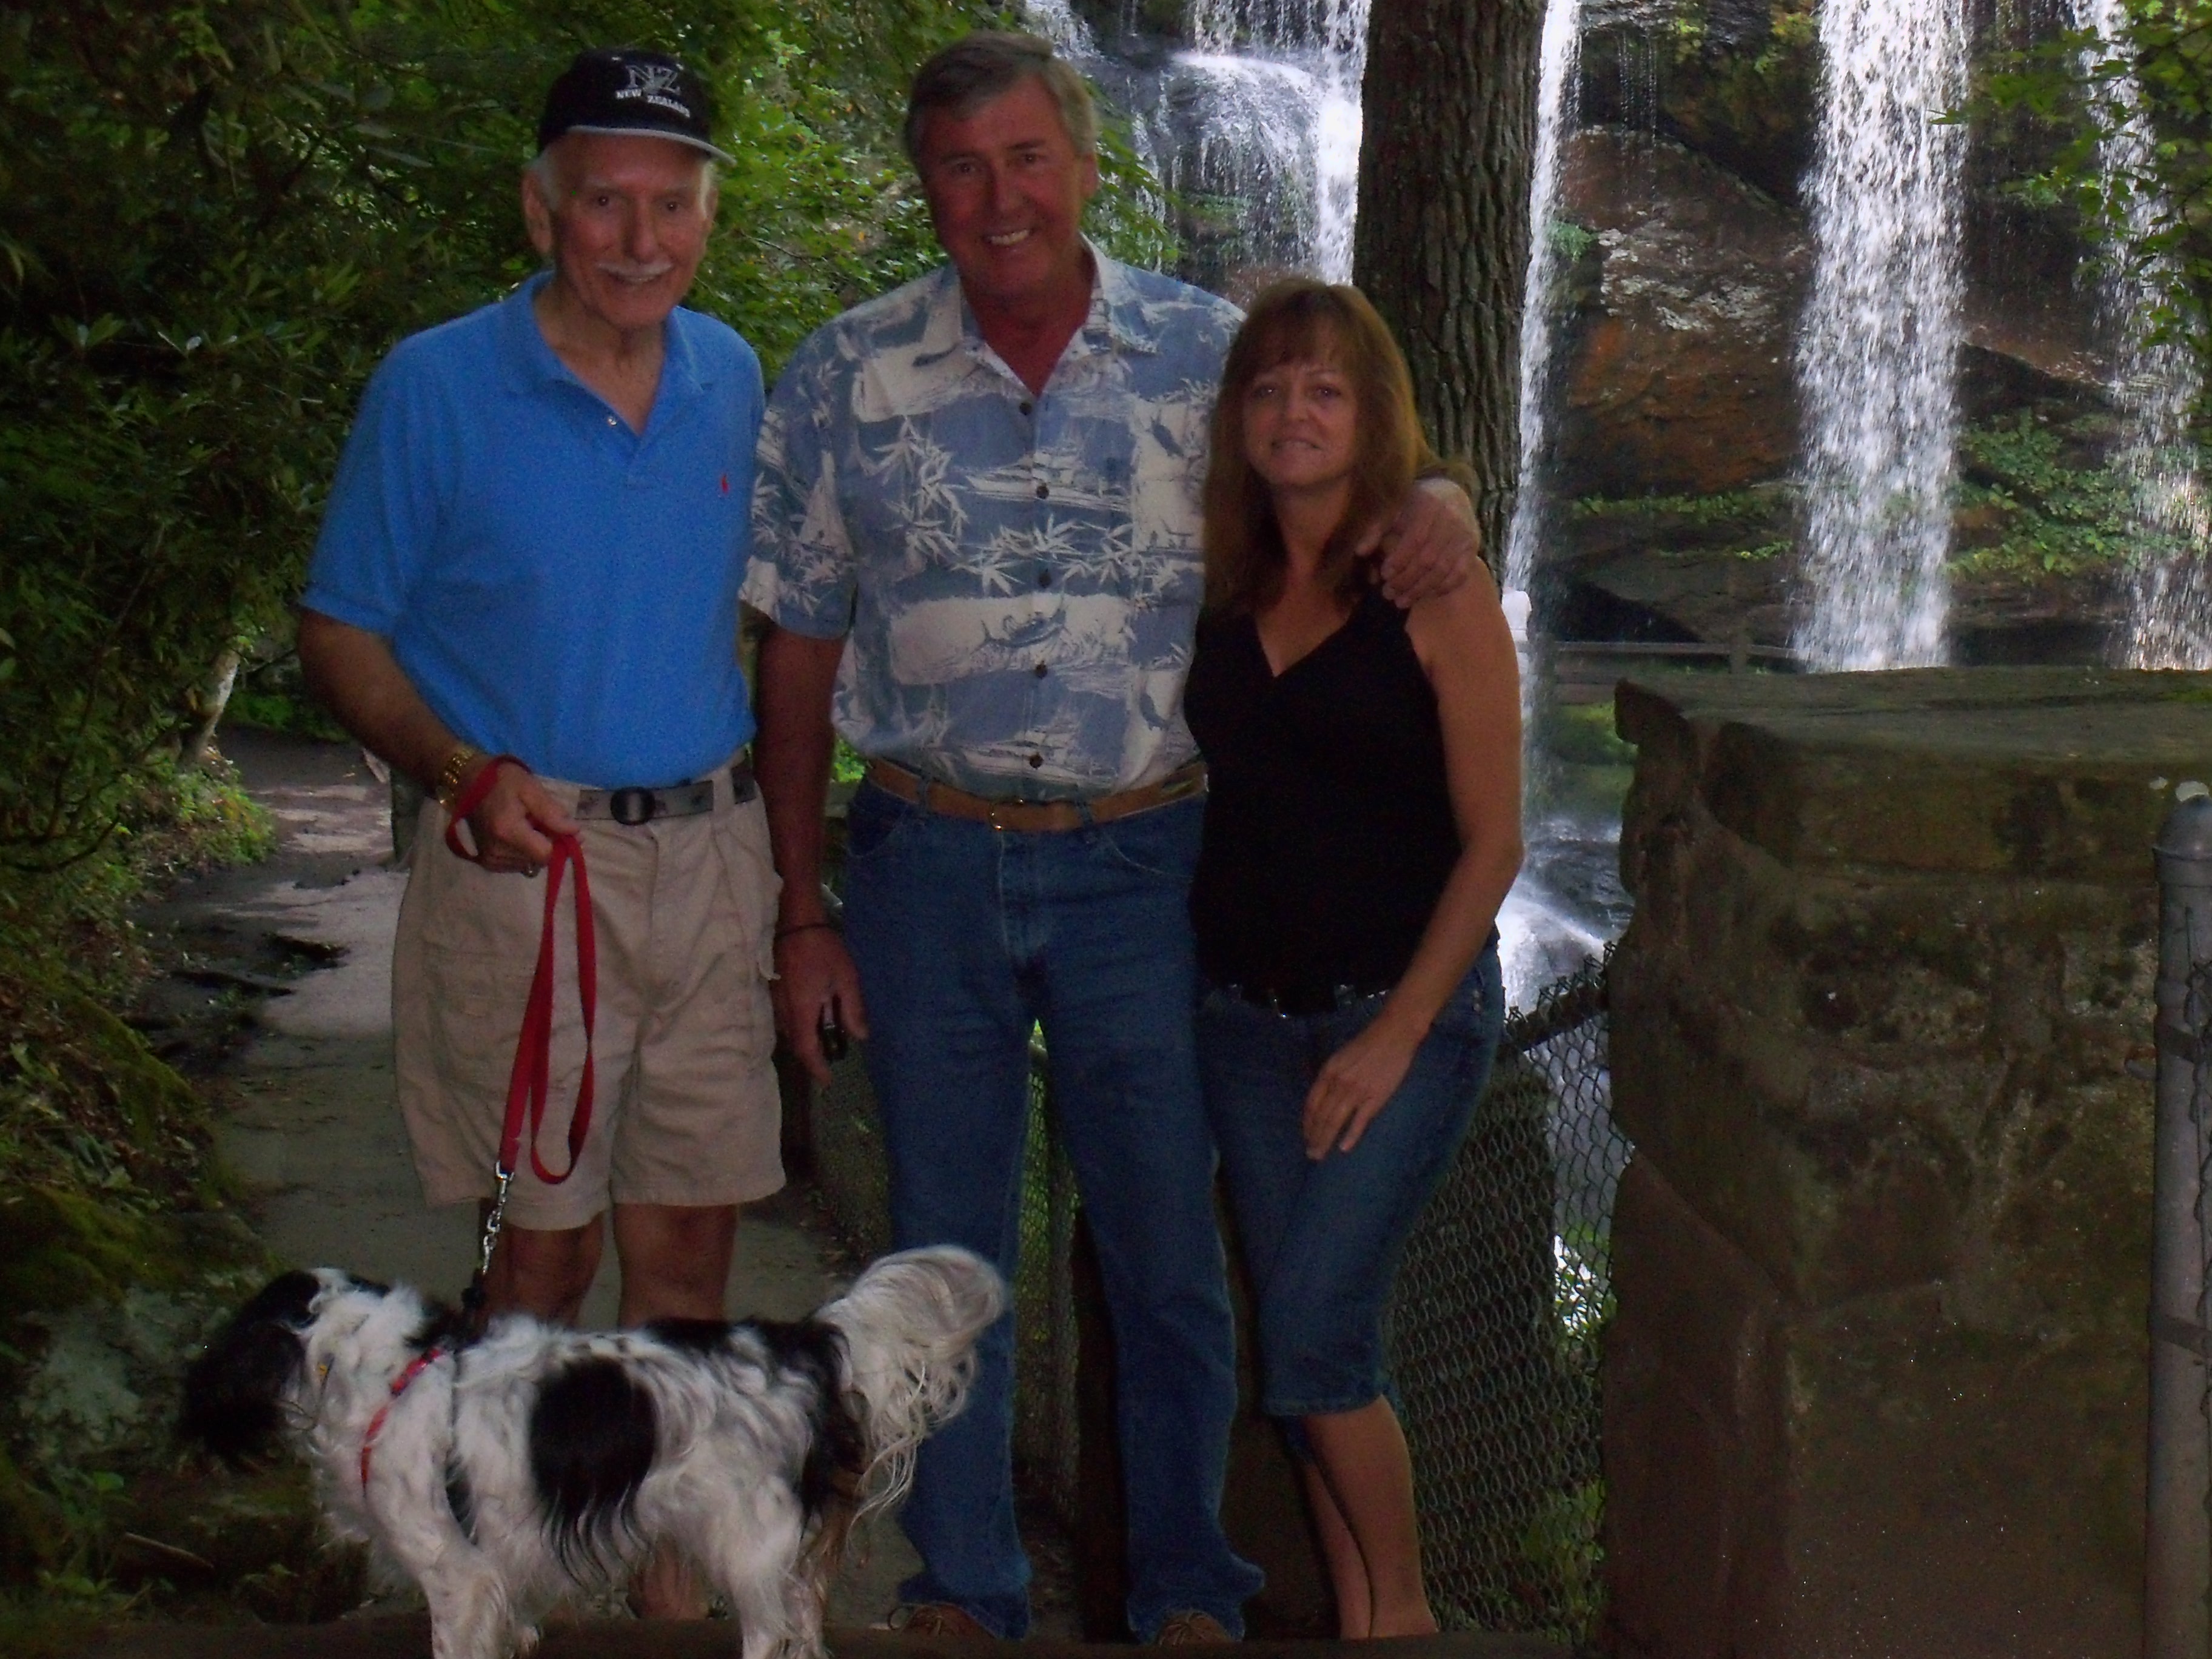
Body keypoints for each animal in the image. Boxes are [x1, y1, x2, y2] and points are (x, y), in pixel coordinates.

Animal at [180, 1246, 1003, 1659]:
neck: (383, 1368)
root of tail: (801, 1342)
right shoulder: (495, 1562)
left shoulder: (451, 1571)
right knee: (803, 1623)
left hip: (744, 1537)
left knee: (771, 1631)